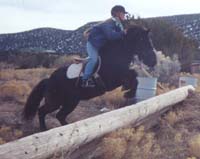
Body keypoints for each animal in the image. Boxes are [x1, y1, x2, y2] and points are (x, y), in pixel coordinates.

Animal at [23, 25, 157, 130]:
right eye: (142, 40)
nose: (153, 61)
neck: (115, 56)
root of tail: (49, 80)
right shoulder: (113, 79)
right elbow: (133, 76)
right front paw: (128, 93)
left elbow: (134, 76)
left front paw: (128, 92)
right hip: (59, 102)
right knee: (45, 112)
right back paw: (46, 129)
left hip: (68, 102)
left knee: (56, 115)